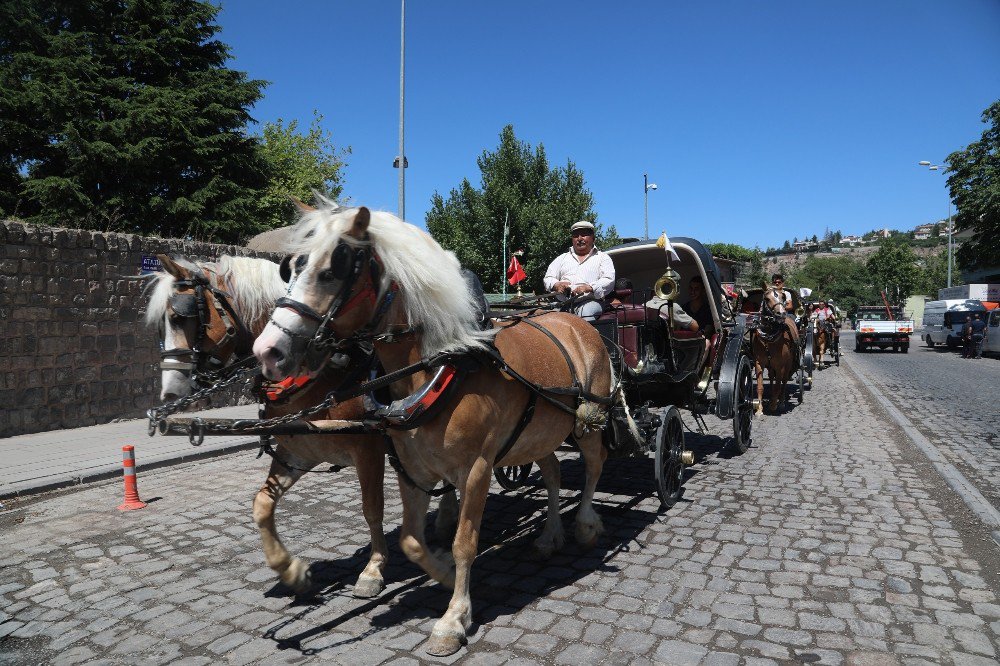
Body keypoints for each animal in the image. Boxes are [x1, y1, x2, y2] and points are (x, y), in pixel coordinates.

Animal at [144, 252, 458, 600]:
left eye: (178, 317)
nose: (169, 393)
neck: (324, 370)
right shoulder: (299, 451)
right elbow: (262, 503)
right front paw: (290, 570)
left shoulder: (369, 451)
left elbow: (372, 509)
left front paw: (373, 569)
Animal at [250, 201, 624, 652]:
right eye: (292, 268)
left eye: (331, 272)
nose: (268, 350)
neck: (439, 367)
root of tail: (574, 321)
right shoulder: (409, 467)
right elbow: (412, 540)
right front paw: (442, 573)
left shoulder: (476, 468)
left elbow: (466, 542)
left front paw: (453, 619)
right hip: (538, 433)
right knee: (552, 472)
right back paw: (550, 535)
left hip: (587, 422)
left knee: (595, 464)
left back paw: (585, 524)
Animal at [752, 282, 796, 412]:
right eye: (767, 298)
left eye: (783, 297)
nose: (781, 314)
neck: (768, 338)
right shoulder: (759, 362)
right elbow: (760, 386)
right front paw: (759, 408)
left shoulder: (780, 364)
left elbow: (778, 385)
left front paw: (773, 405)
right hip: (771, 365)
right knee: (772, 377)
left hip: (788, 362)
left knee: (784, 380)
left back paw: (780, 401)